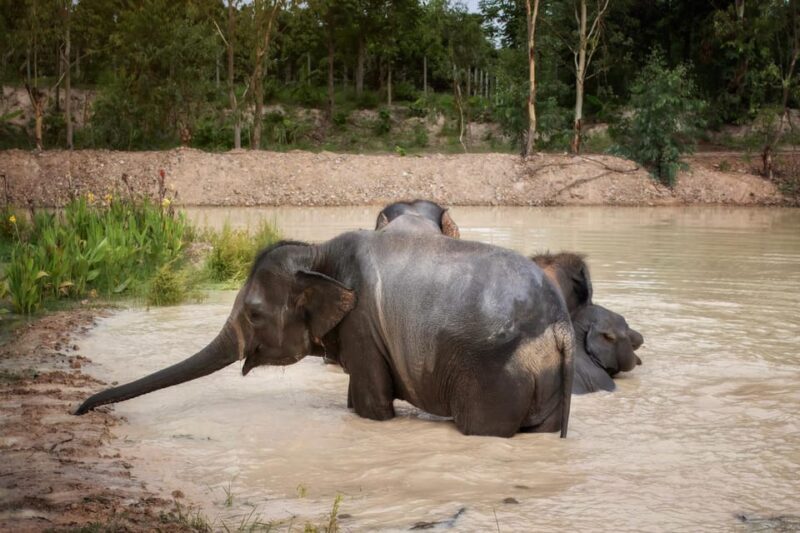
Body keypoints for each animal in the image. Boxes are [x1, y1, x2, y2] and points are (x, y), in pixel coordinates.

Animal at [75, 226, 575, 438]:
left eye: (253, 314)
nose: (78, 410)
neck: (318, 252)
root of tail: (561, 326)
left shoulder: (363, 326)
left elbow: (373, 405)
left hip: (495, 377)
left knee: (483, 429)